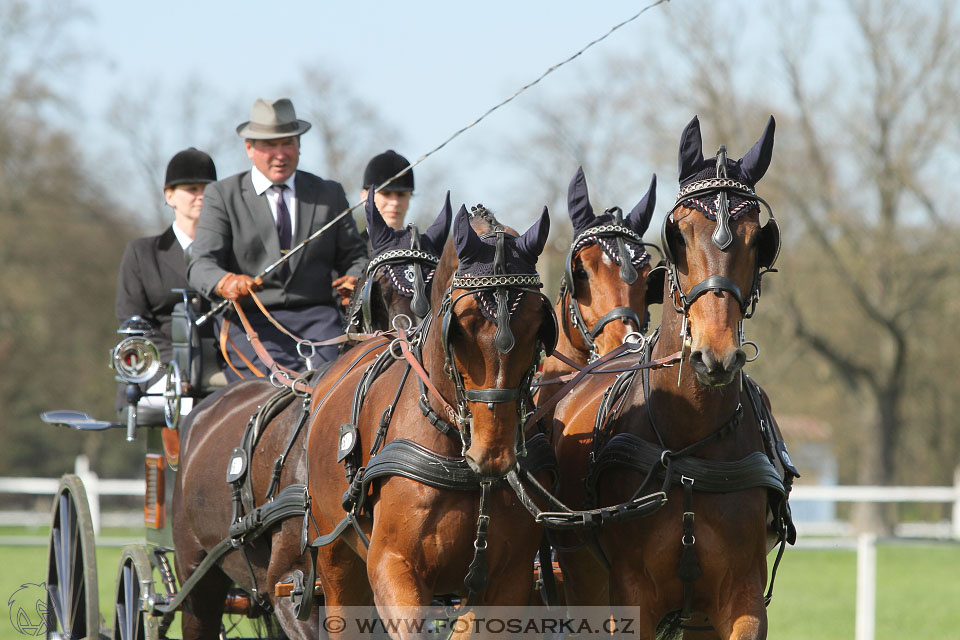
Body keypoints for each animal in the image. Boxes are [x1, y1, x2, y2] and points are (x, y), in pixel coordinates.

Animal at [304, 204, 560, 636]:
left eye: (536, 325)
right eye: (460, 327)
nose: (493, 453)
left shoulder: (509, 581)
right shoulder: (393, 566)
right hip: (335, 558)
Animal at [552, 116, 800, 640]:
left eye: (758, 239)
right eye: (679, 234)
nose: (715, 355)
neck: (690, 446)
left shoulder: (742, 598)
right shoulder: (632, 597)